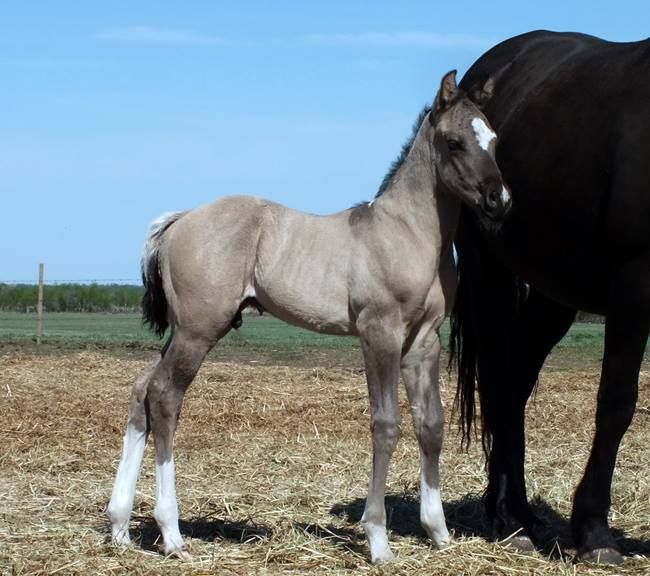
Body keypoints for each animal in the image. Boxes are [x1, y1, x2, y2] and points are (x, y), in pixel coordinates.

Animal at [107, 71, 506, 564]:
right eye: (453, 142)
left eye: (493, 139)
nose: (499, 199)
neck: (408, 234)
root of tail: (180, 220)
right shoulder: (379, 332)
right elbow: (386, 425)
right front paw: (378, 539)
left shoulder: (423, 340)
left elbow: (430, 425)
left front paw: (439, 532)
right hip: (199, 331)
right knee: (164, 397)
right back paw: (172, 533)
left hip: (184, 331)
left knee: (142, 388)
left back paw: (121, 526)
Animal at [450, 30, 648, 564]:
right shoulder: (634, 284)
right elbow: (617, 403)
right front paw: (595, 533)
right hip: (490, 275)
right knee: (500, 382)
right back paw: (510, 520)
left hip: (554, 294)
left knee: (516, 384)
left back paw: (512, 507)